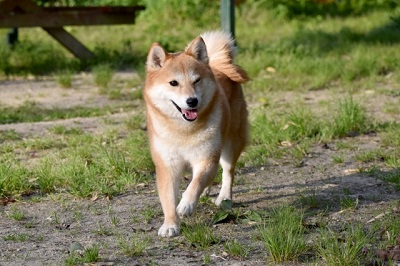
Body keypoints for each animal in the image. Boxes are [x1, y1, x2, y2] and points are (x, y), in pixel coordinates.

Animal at [144, 31, 250, 237]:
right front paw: (170, 225)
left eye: (196, 80)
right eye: (173, 83)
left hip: (230, 144)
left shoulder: (206, 158)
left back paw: (224, 197)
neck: (184, 130)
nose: (192, 101)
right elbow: (168, 199)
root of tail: (217, 66)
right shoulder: (167, 166)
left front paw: (186, 204)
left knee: (227, 172)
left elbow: (196, 183)